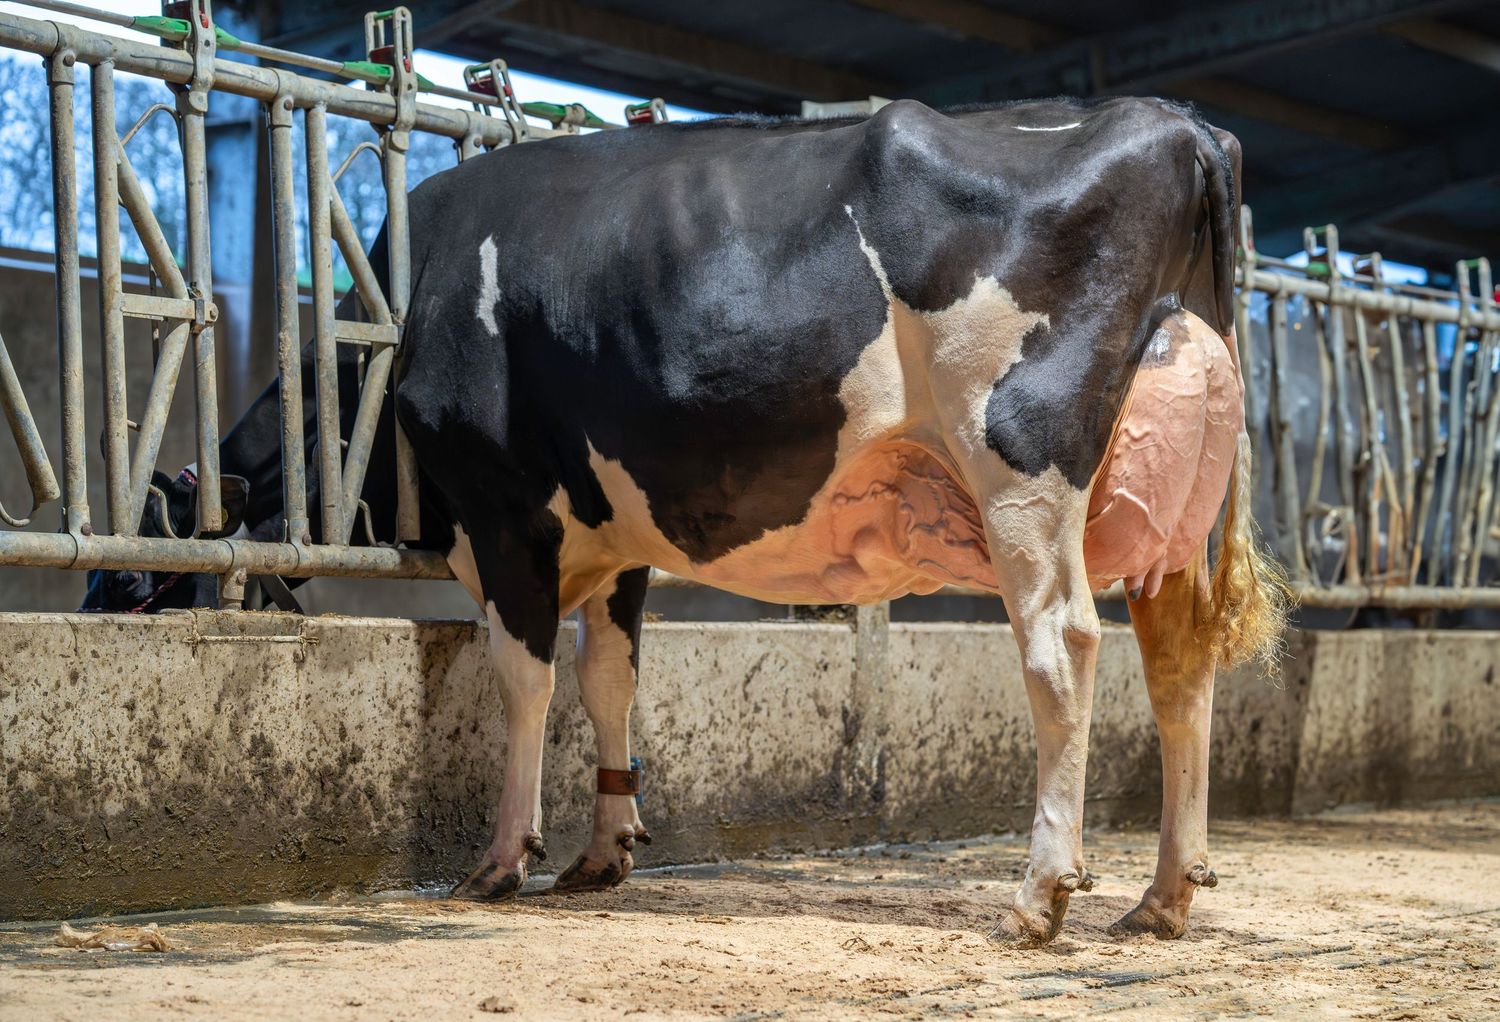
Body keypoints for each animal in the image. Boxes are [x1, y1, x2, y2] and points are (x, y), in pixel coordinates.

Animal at [84, 96, 1286, 944]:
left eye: (134, 578)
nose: (102, 621)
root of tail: (1175, 123)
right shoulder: (617, 538)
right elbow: (611, 676)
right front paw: (607, 846)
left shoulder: (507, 514)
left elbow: (526, 678)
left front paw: (502, 859)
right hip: (1177, 508)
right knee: (1181, 663)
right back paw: (1164, 896)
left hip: (1023, 462)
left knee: (1063, 646)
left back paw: (1042, 892)